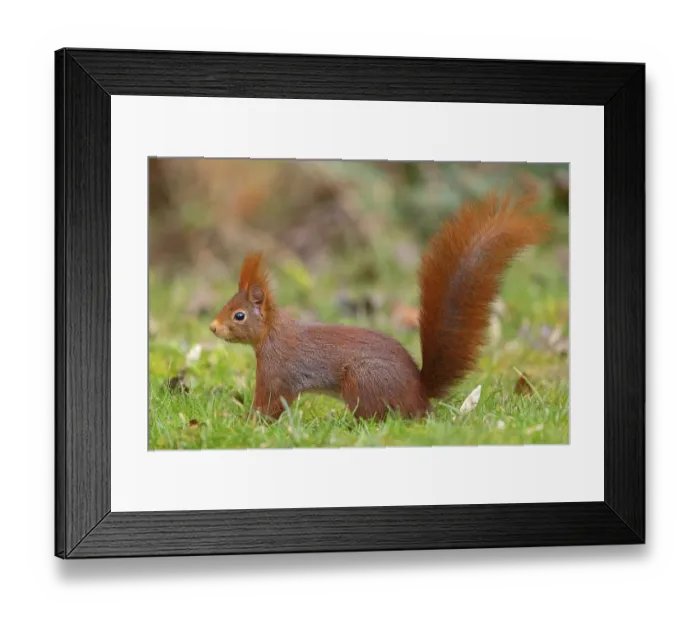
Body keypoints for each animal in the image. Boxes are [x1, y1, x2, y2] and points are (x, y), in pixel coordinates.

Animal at [209, 193, 550, 420]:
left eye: (239, 315)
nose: (213, 327)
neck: (272, 334)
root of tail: (419, 393)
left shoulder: (278, 372)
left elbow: (270, 403)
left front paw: (250, 423)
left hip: (362, 381)